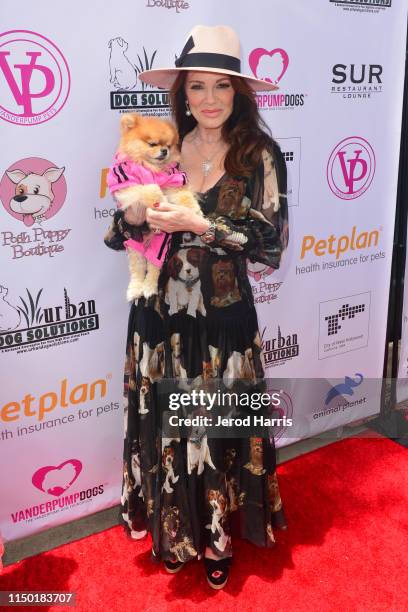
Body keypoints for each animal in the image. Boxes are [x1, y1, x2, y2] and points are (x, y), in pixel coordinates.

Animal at [107, 113, 202, 302]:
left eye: (168, 146)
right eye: (152, 144)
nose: (164, 151)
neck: (151, 167)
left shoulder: (173, 181)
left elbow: (184, 195)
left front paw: (195, 210)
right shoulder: (127, 184)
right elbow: (148, 188)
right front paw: (158, 198)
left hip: (160, 245)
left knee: (153, 268)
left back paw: (149, 288)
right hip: (132, 245)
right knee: (137, 269)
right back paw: (135, 290)